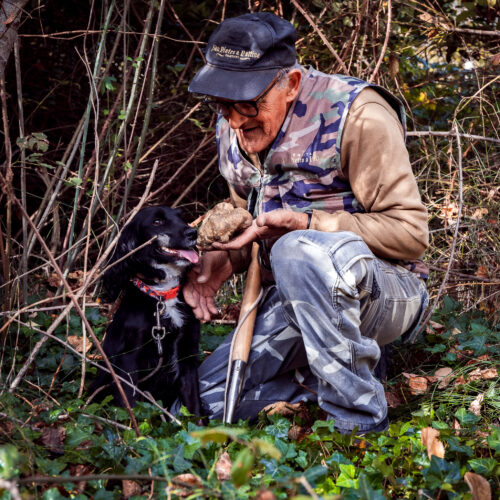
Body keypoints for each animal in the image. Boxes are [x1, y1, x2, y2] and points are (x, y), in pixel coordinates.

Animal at [92, 203, 203, 414]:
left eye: (181, 217)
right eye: (157, 221)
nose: (193, 232)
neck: (162, 296)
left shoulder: (187, 354)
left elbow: (193, 408)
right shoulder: (127, 360)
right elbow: (130, 403)